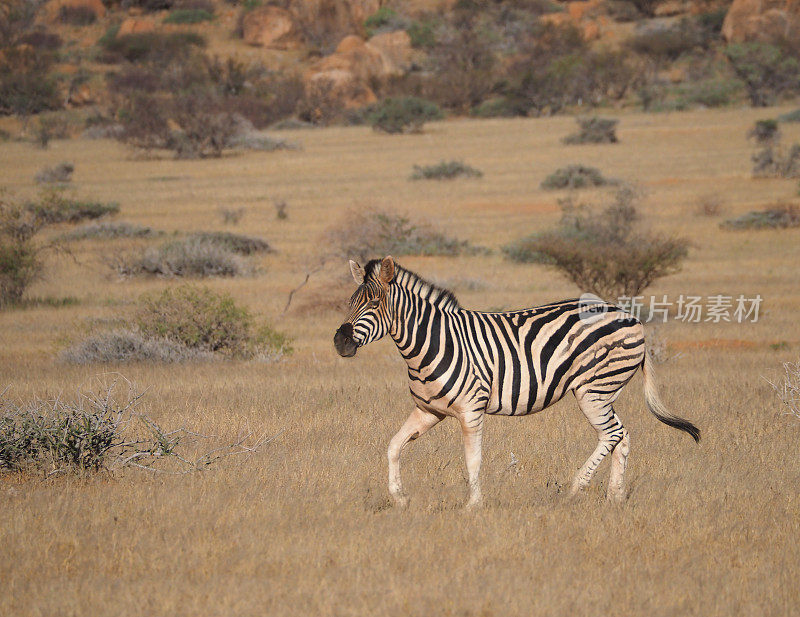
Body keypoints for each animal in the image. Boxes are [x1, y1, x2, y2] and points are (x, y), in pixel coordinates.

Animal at [332, 254, 700, 506]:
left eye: (374, 303)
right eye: (350, 302)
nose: (340, 342)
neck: (431, 343)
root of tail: (630, 316)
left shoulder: (471, 410)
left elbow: (473, 459)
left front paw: (473, 506)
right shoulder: (428, 411)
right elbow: (393, 446)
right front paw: (399, 497)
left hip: (593, 389)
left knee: (611, 435)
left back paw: (575, 489)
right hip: (605, 392)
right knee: (622, 437)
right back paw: (615, 496)